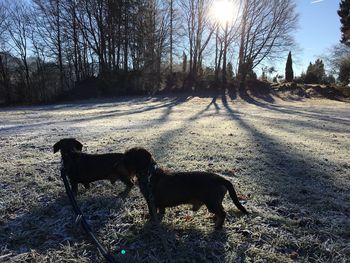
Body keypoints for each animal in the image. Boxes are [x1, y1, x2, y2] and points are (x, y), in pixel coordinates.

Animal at [116, 147, 247, 230]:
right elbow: (161, 211)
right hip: (214, 203)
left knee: (223, 213)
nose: (116, 164)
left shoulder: (150, 200)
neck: (150, 173)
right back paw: (215, 220)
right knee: (221, 212)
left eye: (128, 157)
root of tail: (220, 178)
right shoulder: (158, 203)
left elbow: (152, 213)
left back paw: (218, 227)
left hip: (211, 203)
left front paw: (151, 222)